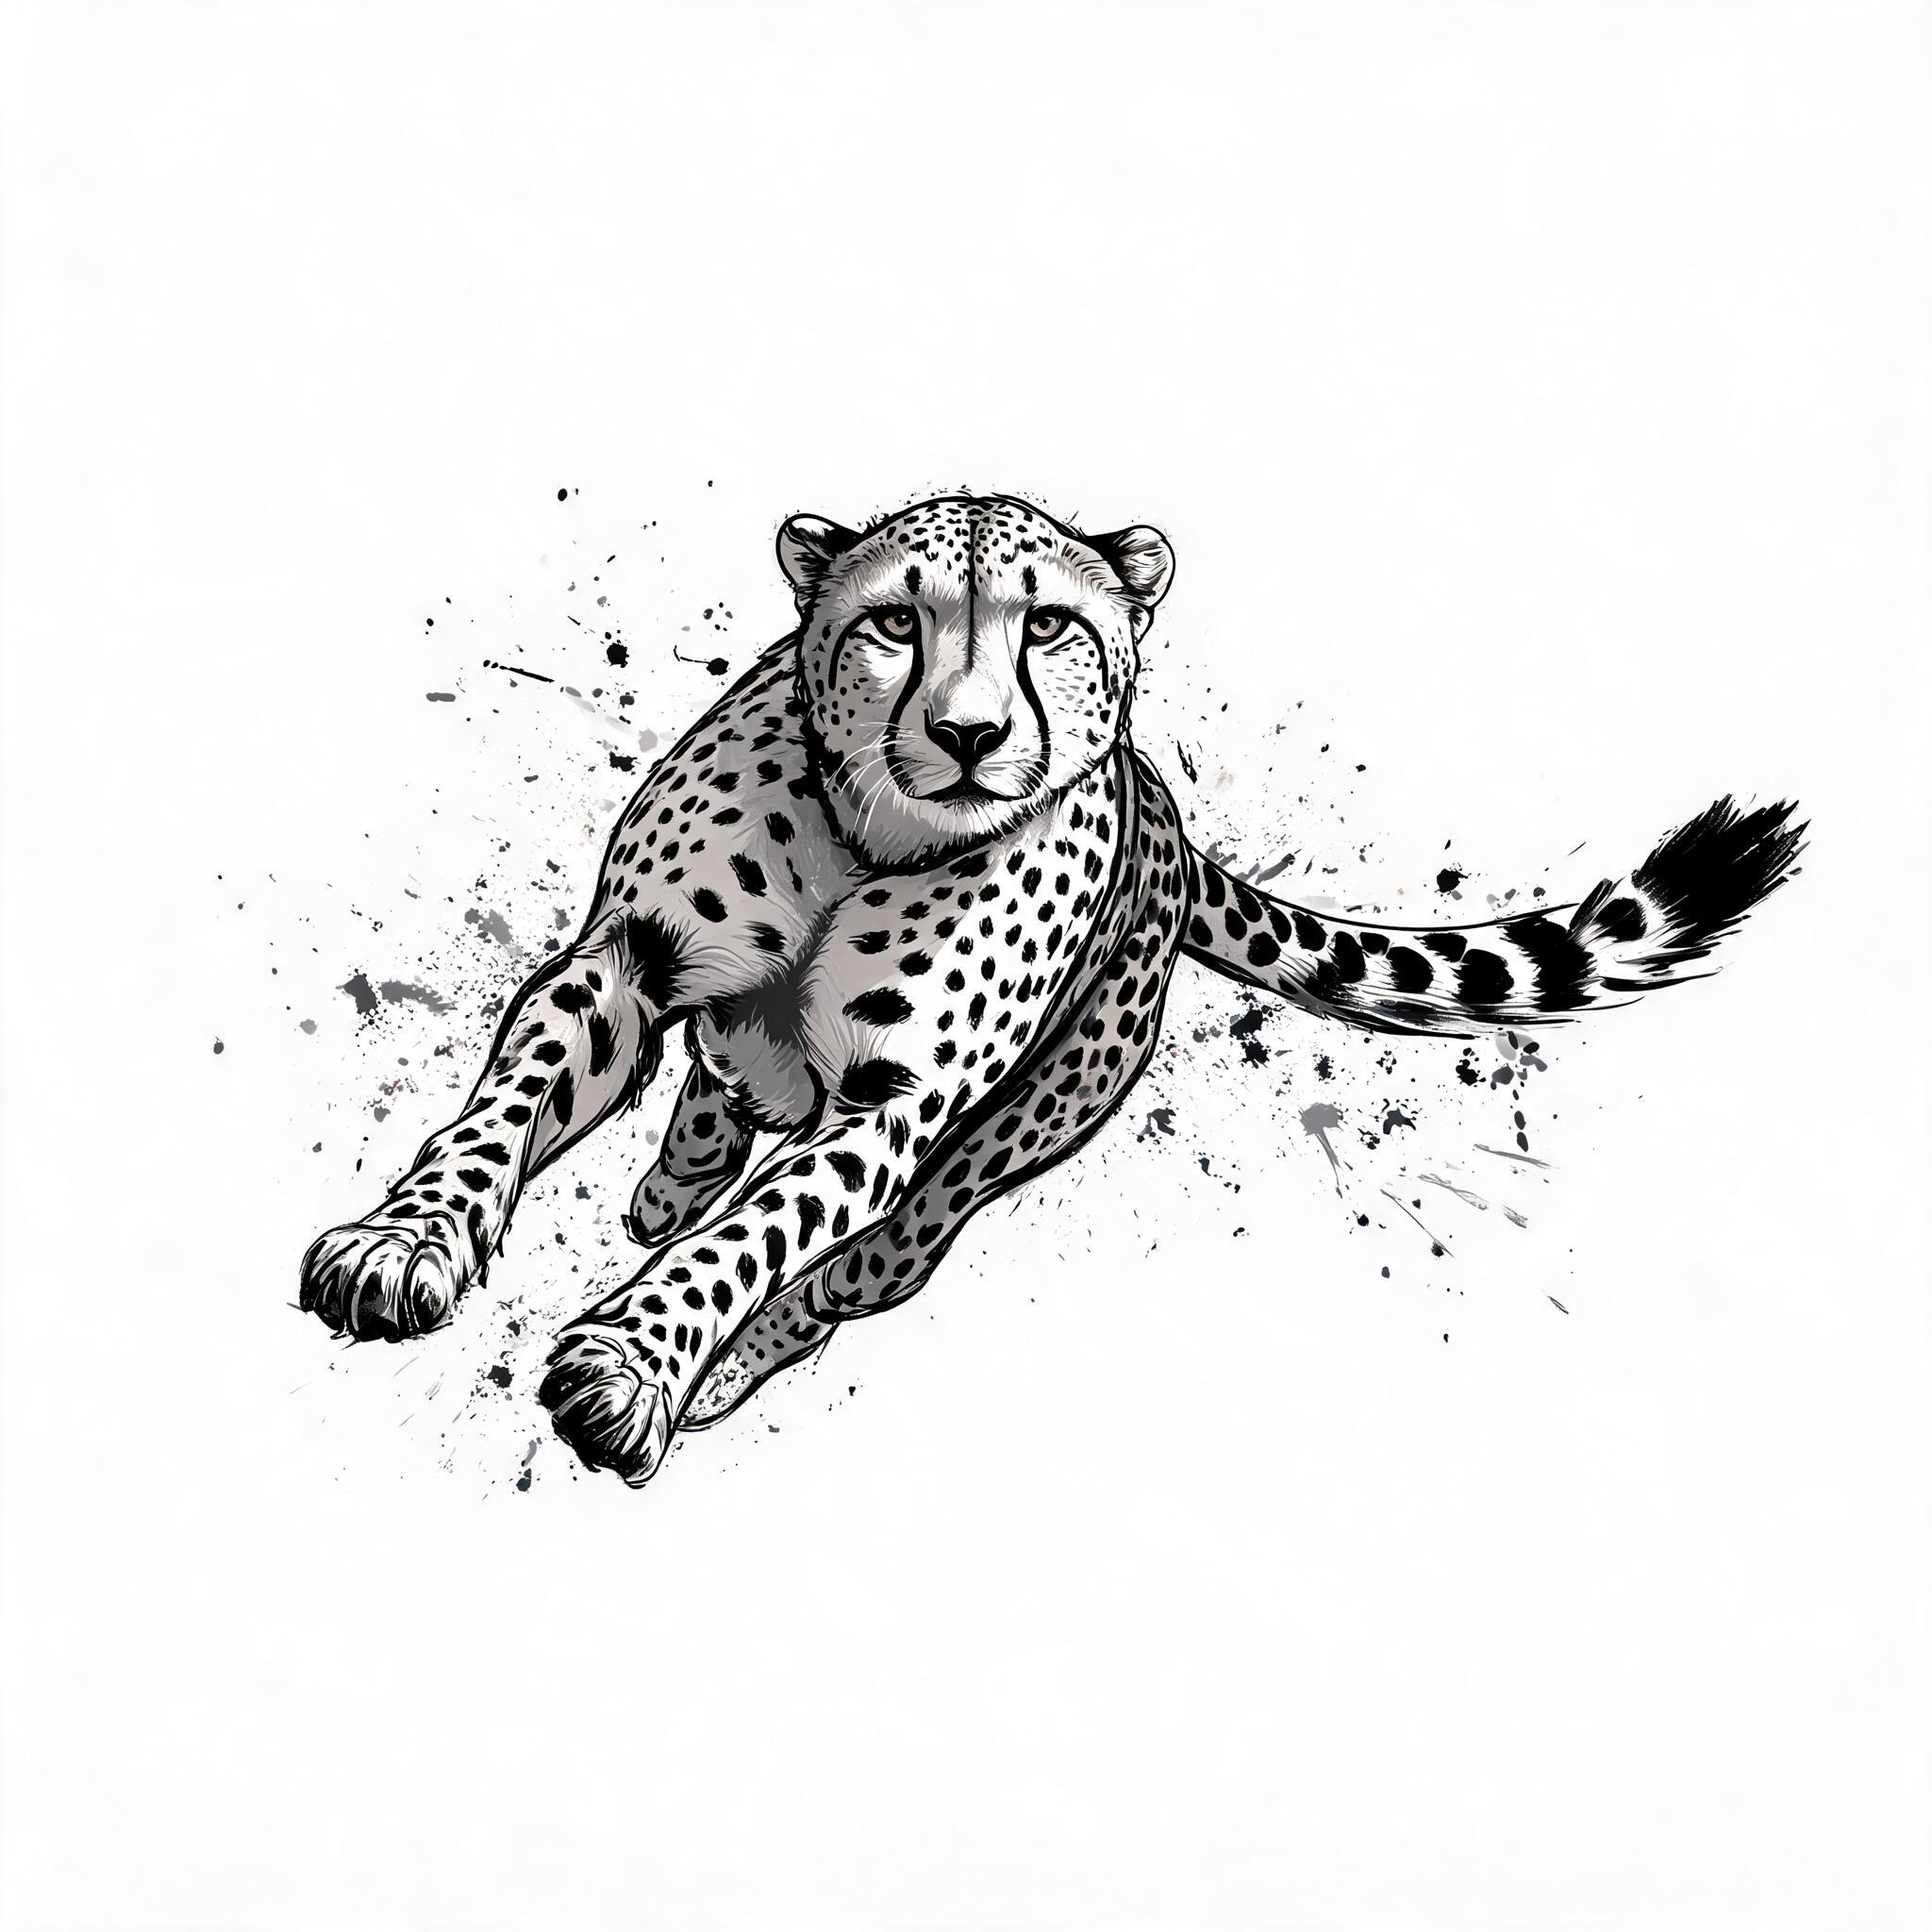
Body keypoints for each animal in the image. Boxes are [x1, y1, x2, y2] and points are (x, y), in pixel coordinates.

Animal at [299, 492, 1805, 1487]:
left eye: (1052, 631)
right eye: (892, 621)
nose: (968, 734)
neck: (869, 837)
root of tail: (1170, 826)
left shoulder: (897, 1106)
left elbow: (759, 1241)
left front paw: (632, 1366)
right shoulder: (624, 956)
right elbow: (497, 1118)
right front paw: (398, 1244)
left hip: (998, 1147)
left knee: (855, 1268)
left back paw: (715, 1365)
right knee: (726, 1088)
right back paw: (678, 1166)